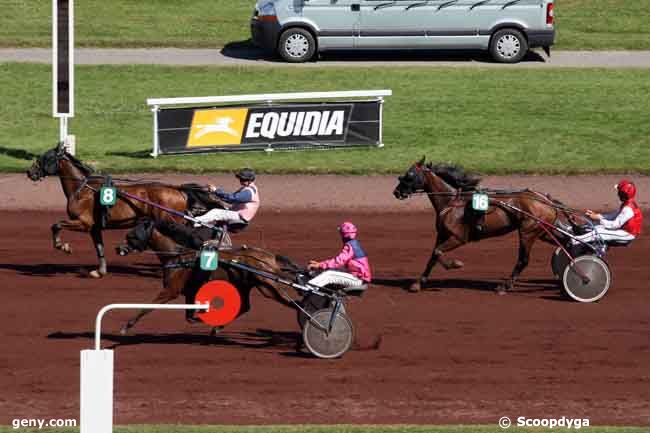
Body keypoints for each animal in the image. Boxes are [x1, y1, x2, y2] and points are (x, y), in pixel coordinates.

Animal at [26, 142, 209, 276]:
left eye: (45, 157)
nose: (29, 172)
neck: (82, 189)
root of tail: (179, 191)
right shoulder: (94, 228)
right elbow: (99, 247)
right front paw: (100, 271)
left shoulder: (83, 223)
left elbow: (56, 225)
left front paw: (63, 246)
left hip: (170, 223)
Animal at [117, 219, 300, 334]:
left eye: (132, 235)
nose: (119, 248)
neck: (179, 257)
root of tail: (270, 258)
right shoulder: (190, 292)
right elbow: (190, 317)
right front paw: (205, 316)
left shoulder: (170, 291)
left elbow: (147, 307)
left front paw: (126, 326)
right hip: (245, 285)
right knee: (246, 306)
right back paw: (217, 328)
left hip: (268, 287)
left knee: (293, 304)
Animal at [390, 157, 568, 292]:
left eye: (410, 174)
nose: (396, 192)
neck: (451, 202)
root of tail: (546, 200)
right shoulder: (442, 234)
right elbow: (433, 255)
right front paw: (418, 283)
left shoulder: (459, 237)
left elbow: (439, 252)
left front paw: (455, 264)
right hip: (543, 232)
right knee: (564, 243)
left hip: (528, 232)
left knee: (523, 260)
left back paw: (505, 286)